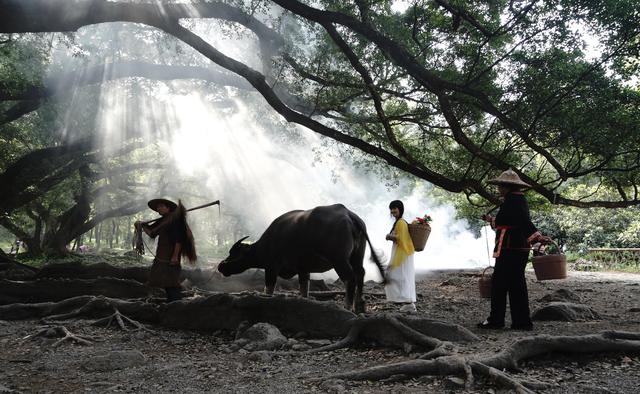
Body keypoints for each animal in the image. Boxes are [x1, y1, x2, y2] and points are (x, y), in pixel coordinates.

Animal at [219, 205, 384, 312]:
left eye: (233, 253)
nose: (221, 265)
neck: (267, 243)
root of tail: (349, 216)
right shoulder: (304, 269)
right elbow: (304, 288)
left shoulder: (271, 267)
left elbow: (269, 289)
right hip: (357, 256)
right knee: (360, 273)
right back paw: (359, 305)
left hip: (339, 260)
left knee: (350, 278)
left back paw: (348, 307)